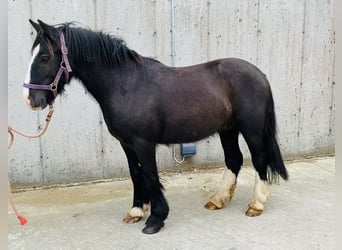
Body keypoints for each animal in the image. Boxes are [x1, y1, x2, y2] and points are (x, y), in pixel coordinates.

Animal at [22, 20, 288, 234]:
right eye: (32, 54)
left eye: (45, 57)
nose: (31, 100)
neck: (125, 85)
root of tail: (259, 74)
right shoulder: (126, 143)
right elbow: (135, 173)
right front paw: (136, 211)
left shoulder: (143, 143)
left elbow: (150, 174)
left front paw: (155, 219)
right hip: (228, 129)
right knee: (234, 159)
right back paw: (218, 199)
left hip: (251, 129)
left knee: (259, 159)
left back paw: (256, 204)